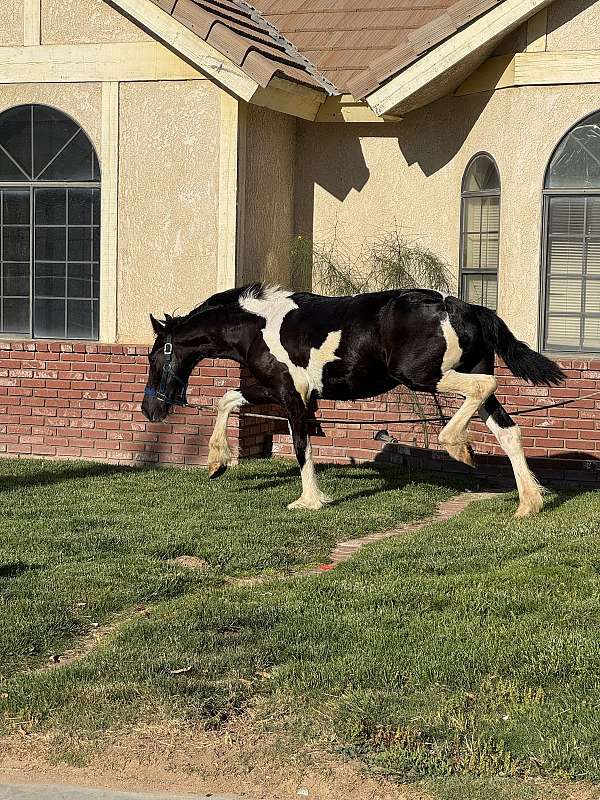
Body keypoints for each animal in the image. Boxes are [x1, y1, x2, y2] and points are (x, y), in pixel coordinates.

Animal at [141, 284, 565, 517]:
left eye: (156, 355)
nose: (151, 409)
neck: (258, 326)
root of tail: (462, 307)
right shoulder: (273, 389)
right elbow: (226, 400)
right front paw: (216, 463)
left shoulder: (291, 395)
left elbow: (301, 446)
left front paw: (309, 501)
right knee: (508, 429)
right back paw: (528, 503)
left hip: (423, 377)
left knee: (483, 387)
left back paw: (459, 447)